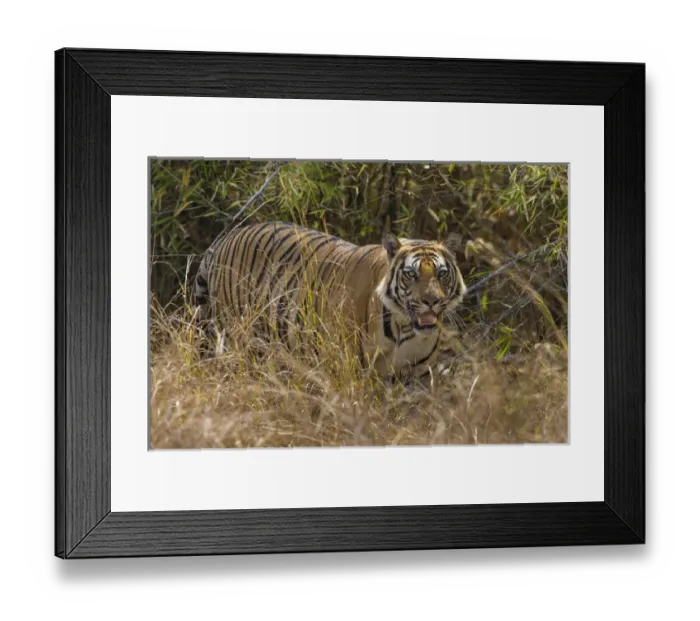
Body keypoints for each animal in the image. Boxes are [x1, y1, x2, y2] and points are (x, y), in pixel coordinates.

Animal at [193, 221, 467, 382]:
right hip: (236, 338)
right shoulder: (348, 368)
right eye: (411, 274)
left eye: (442, 274)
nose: (431, 300)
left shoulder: (418, 374)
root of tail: (227, 236)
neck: (405, 328)